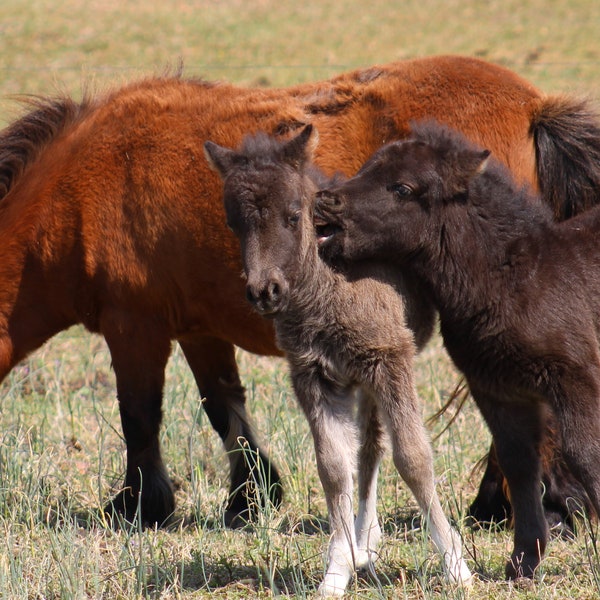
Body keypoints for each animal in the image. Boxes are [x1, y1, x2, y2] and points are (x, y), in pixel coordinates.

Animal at [1, 55, 600, 524]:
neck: (84, 185)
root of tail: (533, 108)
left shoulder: (134, 329)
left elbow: (140, 415)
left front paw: (139, 507)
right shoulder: (197, 329)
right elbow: (223, 405)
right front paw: (250, 497)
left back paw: (525, 507)